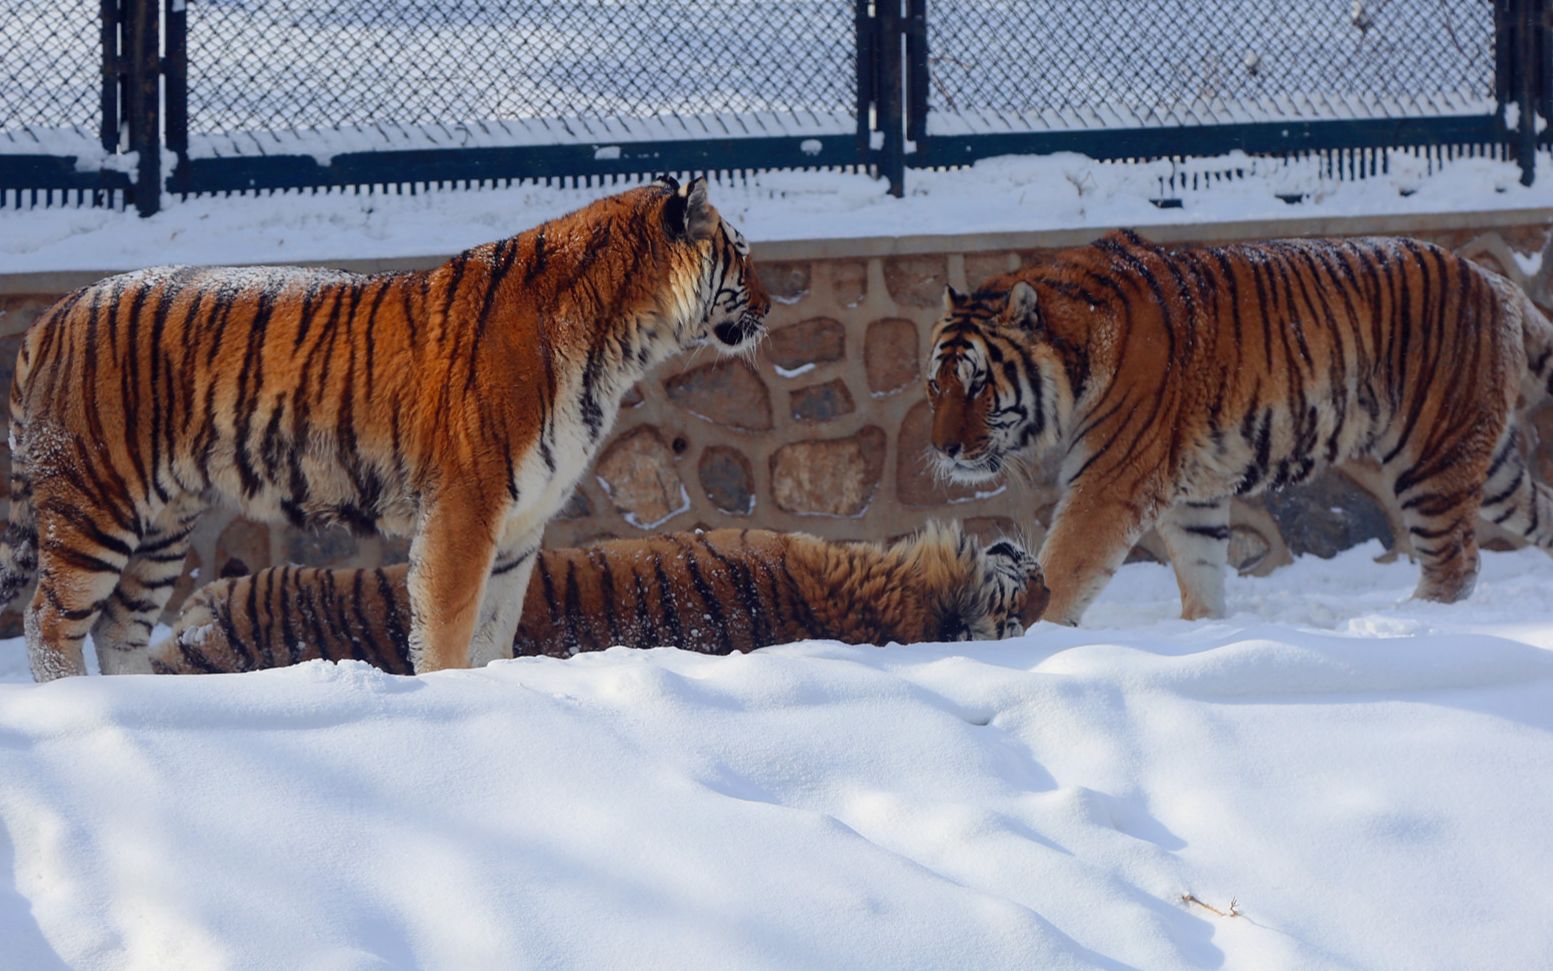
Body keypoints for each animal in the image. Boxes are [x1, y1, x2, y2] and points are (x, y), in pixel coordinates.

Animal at [0, 180, 770, 680]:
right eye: (741, 252)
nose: (770, 305)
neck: (623, 343)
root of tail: (55, 312)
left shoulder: (524, 520)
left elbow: (496, 626)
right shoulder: (465, 505)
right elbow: (447, 622)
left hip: (164, 522)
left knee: (119, 627)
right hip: (96, 503)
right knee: (48, 622)